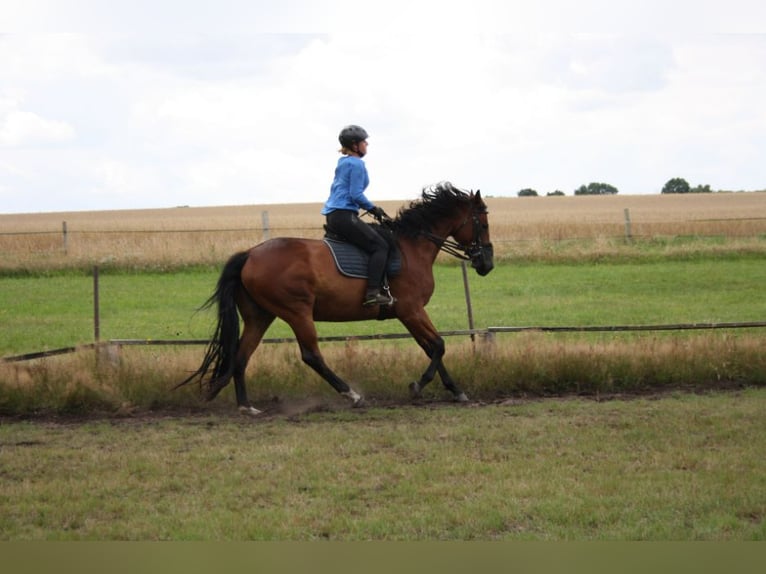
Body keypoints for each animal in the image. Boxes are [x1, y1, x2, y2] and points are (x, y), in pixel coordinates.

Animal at [176, 182, 496, 416]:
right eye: (482, 223)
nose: (487, 265)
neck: (412, 248)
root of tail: (250, 254)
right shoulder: (411, 310)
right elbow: (438, 345)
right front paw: (417, 386)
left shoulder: (408, 314)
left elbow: (431, 348)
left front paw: (456, 391)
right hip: (296, 311)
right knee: (311, 356)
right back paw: (352, 395)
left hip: (260, 315)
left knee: (242, 356)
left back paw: (246, 406)